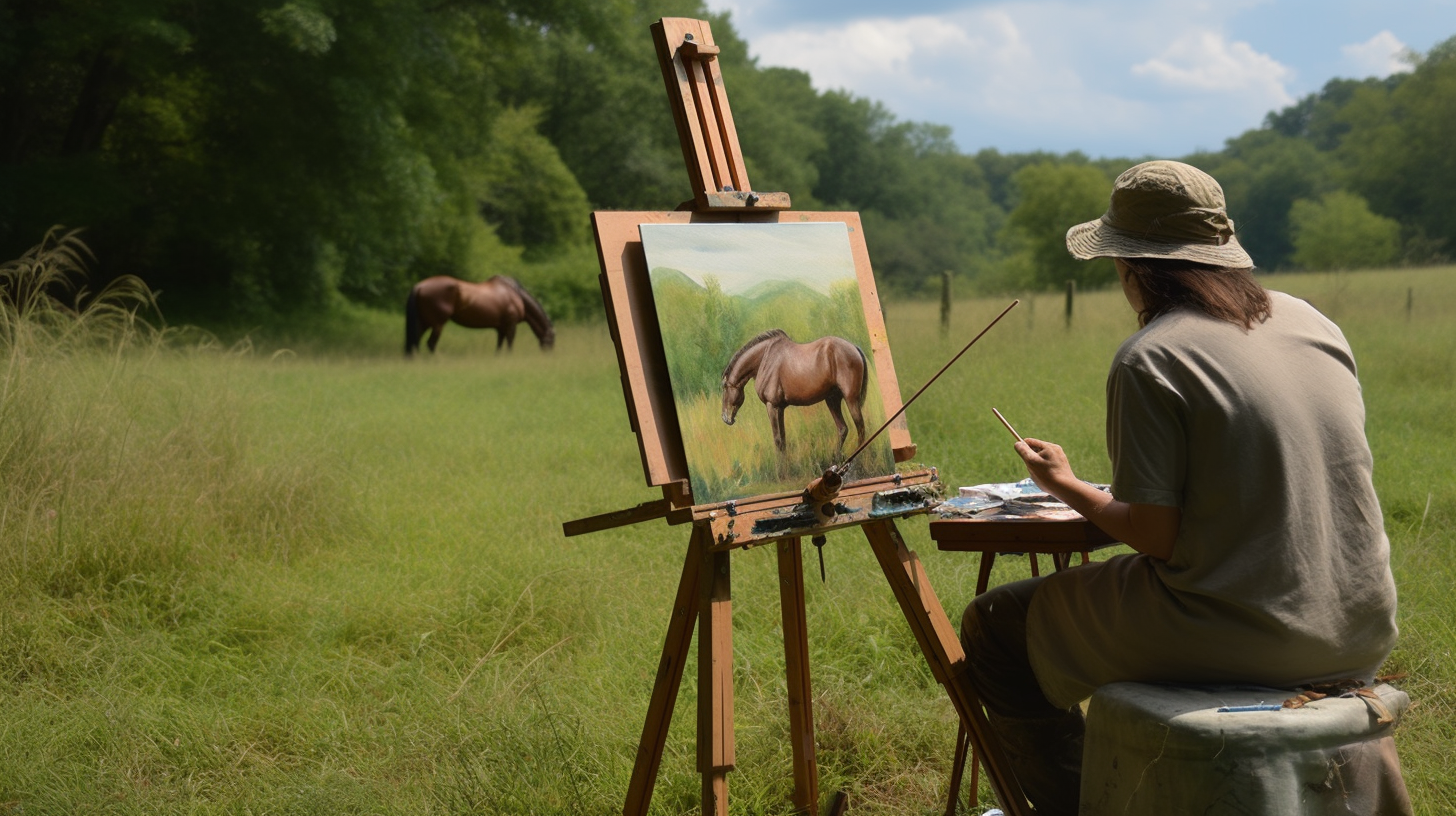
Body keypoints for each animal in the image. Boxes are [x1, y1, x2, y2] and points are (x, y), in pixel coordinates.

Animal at [404, 275, 556, 355]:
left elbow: (499, 346)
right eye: (552, 340)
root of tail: (419, 286)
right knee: (430, 344)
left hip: (424, 323)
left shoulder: (501, 328)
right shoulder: (511, 325)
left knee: (415, 342)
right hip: (437, 324)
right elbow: (509, 343)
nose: (549, 354)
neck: (516, 295)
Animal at [716, 332, 861, 460]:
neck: (764, 358)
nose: (725, 417)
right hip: (832, 400)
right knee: (843, 429)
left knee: (860, 428)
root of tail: (854, 347)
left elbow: (777, 440)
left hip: (851, 399)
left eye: (724, 387)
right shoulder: (780, 408)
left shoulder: (772, 406)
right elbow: (783, 440)